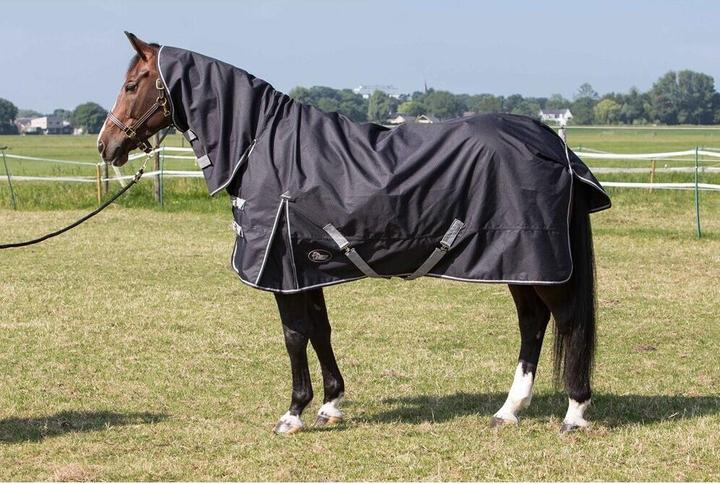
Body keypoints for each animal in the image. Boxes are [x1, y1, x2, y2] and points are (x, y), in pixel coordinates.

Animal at [98, 32, 610, 434]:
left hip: (538, 261)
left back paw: (574, 412)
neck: (262, 144)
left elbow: (294, 335)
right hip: (520, 264)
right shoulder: (307, 267)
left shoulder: (282, 270)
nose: (106, 145)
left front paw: (294, 413)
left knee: (566, 321)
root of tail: (555, 145)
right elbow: (320, 330)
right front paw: (330, 404)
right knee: (533, 324)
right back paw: (509, 410)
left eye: (130, 85)